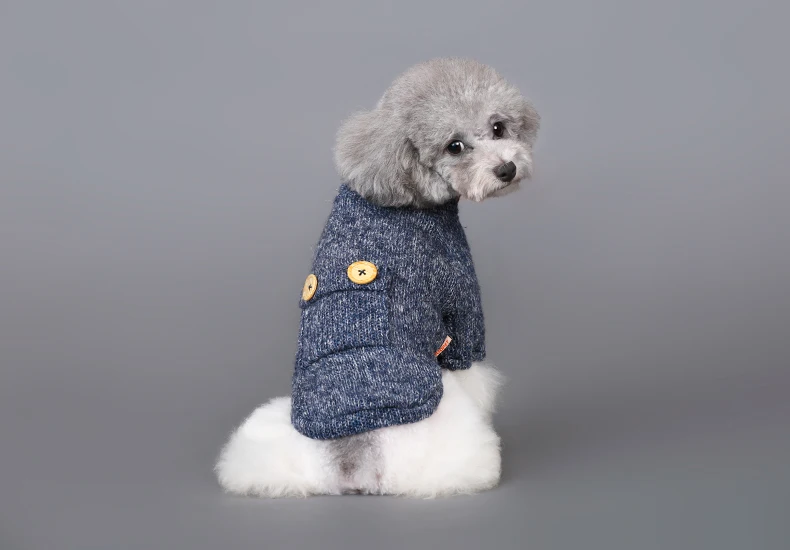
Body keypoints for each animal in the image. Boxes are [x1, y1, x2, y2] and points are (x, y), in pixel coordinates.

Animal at [215, 58, 540, 497]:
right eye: (454, 146)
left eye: (498, 128)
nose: (506, 168)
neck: (403, 189)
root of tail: (354, 459)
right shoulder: (459, 292)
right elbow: (469, 358)